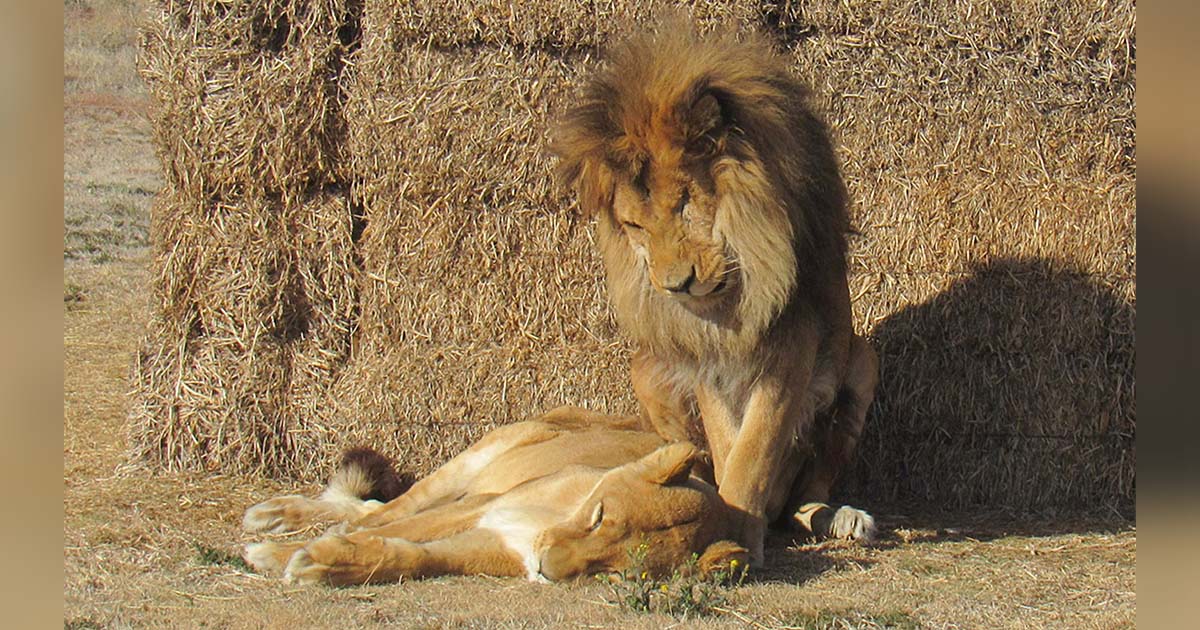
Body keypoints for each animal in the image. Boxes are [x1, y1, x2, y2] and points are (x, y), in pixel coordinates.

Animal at [240, 407, 870, 585]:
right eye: (599, 516)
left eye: (615, 572)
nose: (545, 567)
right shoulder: (483, 508)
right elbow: (380, 531)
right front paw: (284, 556)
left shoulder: (495, 542)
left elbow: (404, 555)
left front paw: (325, 563)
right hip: (474, 464)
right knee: (383, 507)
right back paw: (272, 517)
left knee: (372, 509)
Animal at [552, 24, 880, 564]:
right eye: (634, 225)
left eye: (685, 202)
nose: (675, 284)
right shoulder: (705, 353)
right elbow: (728, 447)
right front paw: (724, 519)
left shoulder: (794, 342)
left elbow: (755, 450)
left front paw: (740, 529)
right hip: (646, 372)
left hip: (862, 364)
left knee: (805, 494)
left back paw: (839, 517)